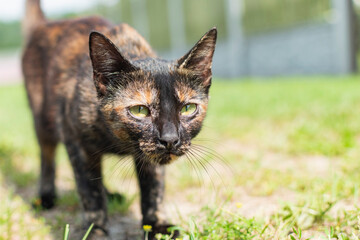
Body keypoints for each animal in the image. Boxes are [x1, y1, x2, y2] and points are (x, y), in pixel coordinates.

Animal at [21, 0, 217, 237]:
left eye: (188, 108)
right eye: (140, 110)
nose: (170, 139)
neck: (117, 139)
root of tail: (46, 25)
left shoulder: (149, 158)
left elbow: (153, 188)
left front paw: (156, 225)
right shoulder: (75, 140)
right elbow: (89, 193)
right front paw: (95, 231)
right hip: (43, 122)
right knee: (47, 157)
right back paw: (46, 196)